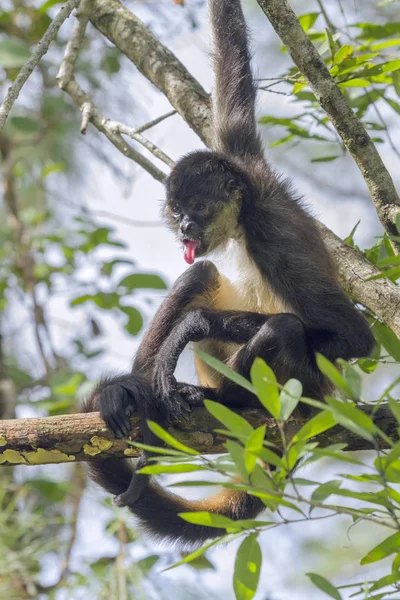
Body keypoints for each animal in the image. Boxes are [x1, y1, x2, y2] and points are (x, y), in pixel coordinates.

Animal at [82, 0, 376, 548]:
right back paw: (137, 392)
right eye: (176, 210)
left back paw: (221, 398)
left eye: (197, 207)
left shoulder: (273, 233)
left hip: (305, 390)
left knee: (284, 328)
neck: (245, 211)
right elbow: (231, 65)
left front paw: (193, 327)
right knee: (197, 277)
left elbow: (354, 337)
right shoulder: (239, 154)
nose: (184, 228)